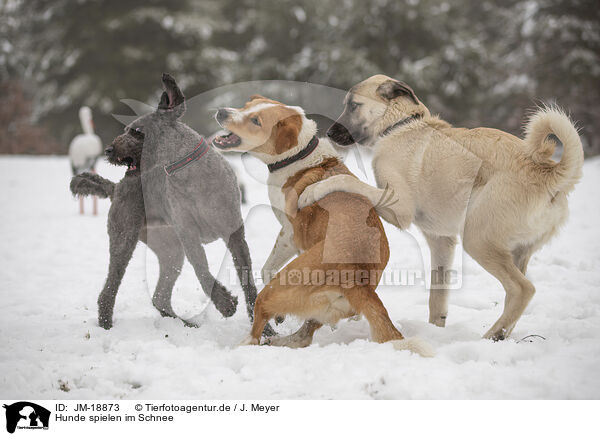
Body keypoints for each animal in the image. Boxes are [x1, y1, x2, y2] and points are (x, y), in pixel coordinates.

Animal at [71, 73, 274, 336]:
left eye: (135, 131)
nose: (107, 150)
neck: (190, 172)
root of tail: (116, 187)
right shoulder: (188, 236)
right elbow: (202, 271)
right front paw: (226, 303)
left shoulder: (234, 234)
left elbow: (247, 279)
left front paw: (266, 330)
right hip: (125, 239)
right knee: (110, 289)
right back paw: (106, 324)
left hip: (171, 251)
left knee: (159, 297)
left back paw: (184, 324)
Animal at [213, 97, 434, 356]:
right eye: (247, 105)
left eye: (256, 120)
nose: (221, 112)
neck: (298, 156)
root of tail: (355, 277)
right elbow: (267, 268)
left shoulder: (290, 234)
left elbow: (269, 268)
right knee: (303, 337)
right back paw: (280, 340)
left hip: (275, 289)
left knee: (257, 329)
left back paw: (244, 344)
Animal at [298, 75, 584, 340]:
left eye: (354, 105)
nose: (329, 133)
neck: (399, 126)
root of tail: (547, 171)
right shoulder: (441, 241)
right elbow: (437, 294)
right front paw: (436, 330)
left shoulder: (398, 207)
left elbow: (347, 181)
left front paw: (312, 191)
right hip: (516, 251)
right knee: (515, 292)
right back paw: (502, 334)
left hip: (477, 239)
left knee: (523, 289)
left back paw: (492, 335)